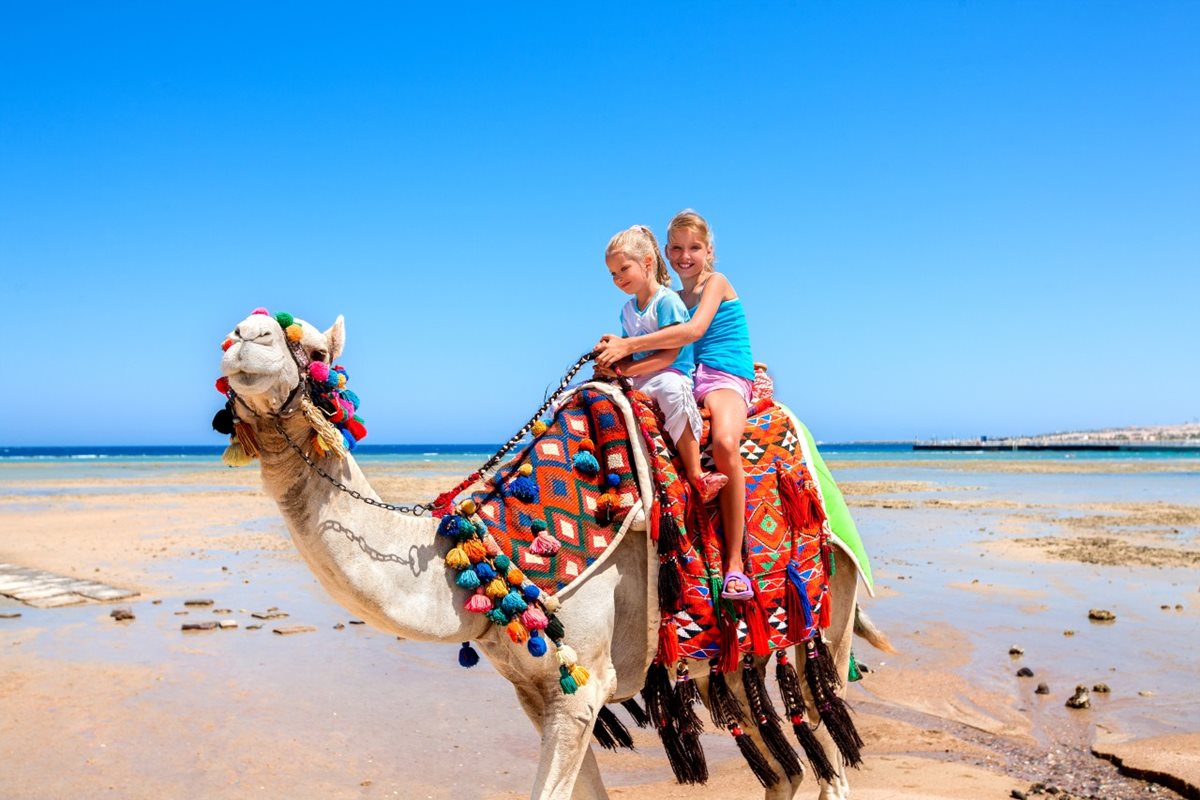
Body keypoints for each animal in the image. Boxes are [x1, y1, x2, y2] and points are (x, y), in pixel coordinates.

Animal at [220, 311, 888, 800]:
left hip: (824, 617)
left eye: (315, 351)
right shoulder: (538, 694)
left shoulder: (580, 687)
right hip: (725, 657)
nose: (248, 335)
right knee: (786, 765)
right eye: (234, 335)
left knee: (829, 747)